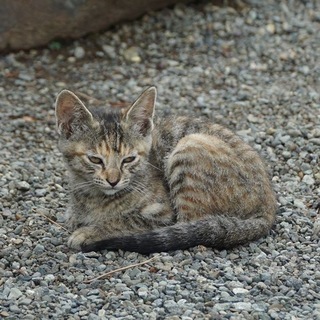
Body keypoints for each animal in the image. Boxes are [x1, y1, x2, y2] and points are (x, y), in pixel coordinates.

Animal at [55, 86, 278, 254]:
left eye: (129, 159)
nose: (113, 180)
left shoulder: (162, 214)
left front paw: (89, 232)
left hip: (190, 144)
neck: (94, 197)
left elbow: (125, 219)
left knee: (191, 229)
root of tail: (268, 205)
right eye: (95, 159)